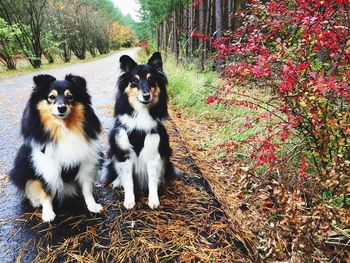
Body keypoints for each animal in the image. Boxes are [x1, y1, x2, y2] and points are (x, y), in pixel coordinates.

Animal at [8, 74, 102, 223]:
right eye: (51, 97)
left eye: (70, 96)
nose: (62, 108)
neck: (63, 128)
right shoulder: (45, 167)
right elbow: (45, 192)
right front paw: (47, 213)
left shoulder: (86, 165)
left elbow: (87, 188)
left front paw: (92, 205)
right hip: (21, 167)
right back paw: (35, 201)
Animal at [104, 53, 175, 210]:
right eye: (135, 81)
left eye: (151, 79)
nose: (146, 96)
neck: (141, 112)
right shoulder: (124, 153)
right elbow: (128, 181)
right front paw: (129, 200)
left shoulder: (154, 153)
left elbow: (152, 180)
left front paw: (153, 200)